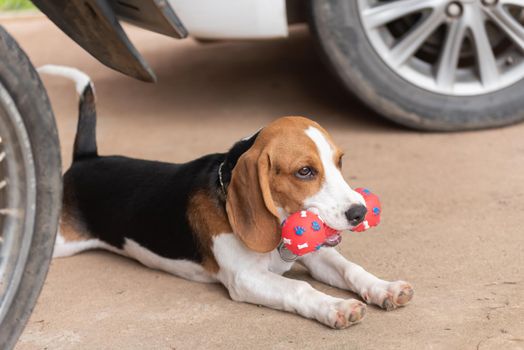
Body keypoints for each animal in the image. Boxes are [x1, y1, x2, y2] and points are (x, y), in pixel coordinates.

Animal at [43, 65, 414, 328]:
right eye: (305, 171)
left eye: (339, 162)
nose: (359, 212)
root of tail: (87, 159)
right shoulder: (244, 279)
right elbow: (299, 288)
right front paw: (335, 306)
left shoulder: (315, 255)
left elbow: (350, 268)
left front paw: (385, 288)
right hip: (62, 243)